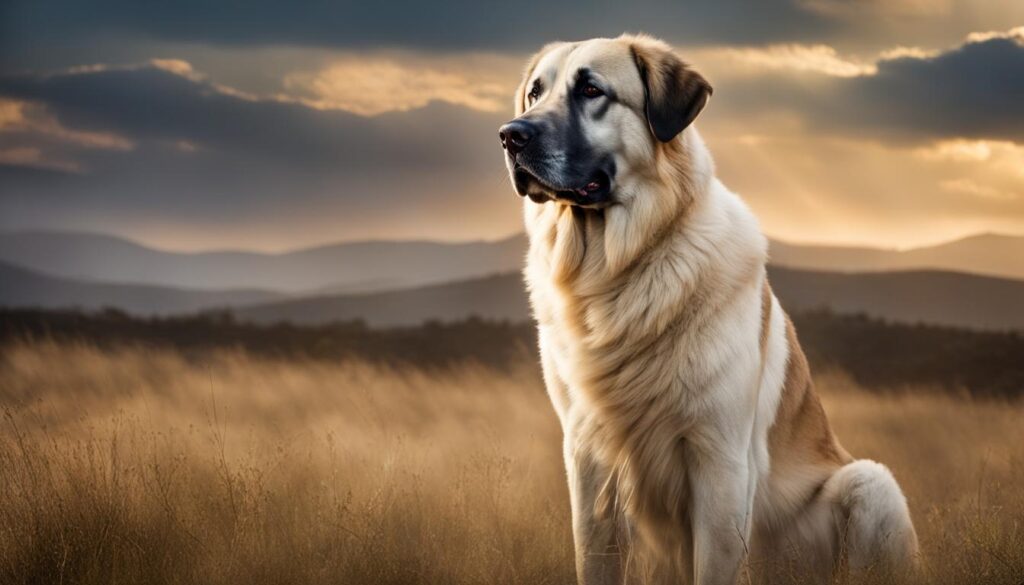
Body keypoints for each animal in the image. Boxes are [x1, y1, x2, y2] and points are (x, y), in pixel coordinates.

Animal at [497, 35, 921, 585]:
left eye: (591, 90)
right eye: (534, 92)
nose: (510, 136)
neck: (620, 273)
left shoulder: (719, 462)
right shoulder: (588, 461)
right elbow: (596, 560)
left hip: (870, 483)